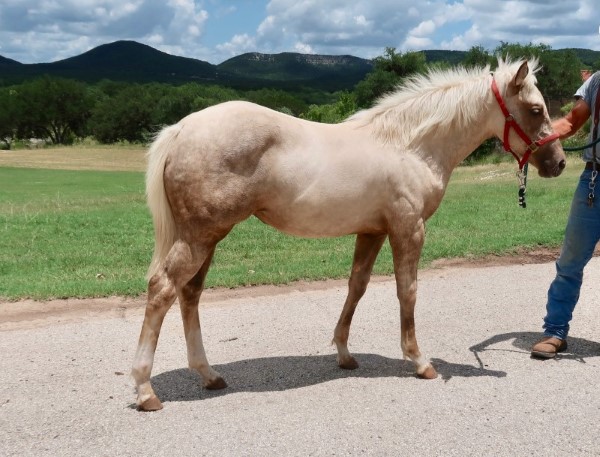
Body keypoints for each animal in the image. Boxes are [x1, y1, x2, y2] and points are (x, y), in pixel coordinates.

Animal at [132, 57, 568, 410]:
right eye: (535, 109)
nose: (560, 163)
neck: (410, 145)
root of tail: (181, 128)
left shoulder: (372, 232)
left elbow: (356, 286)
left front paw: (343, 354)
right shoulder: (408, 228)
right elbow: (407, 290)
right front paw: (419, 361)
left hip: (207, 237)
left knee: (190, 294)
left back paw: (209, 375)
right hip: (200, 236)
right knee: (163, 290)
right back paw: (145, 390)